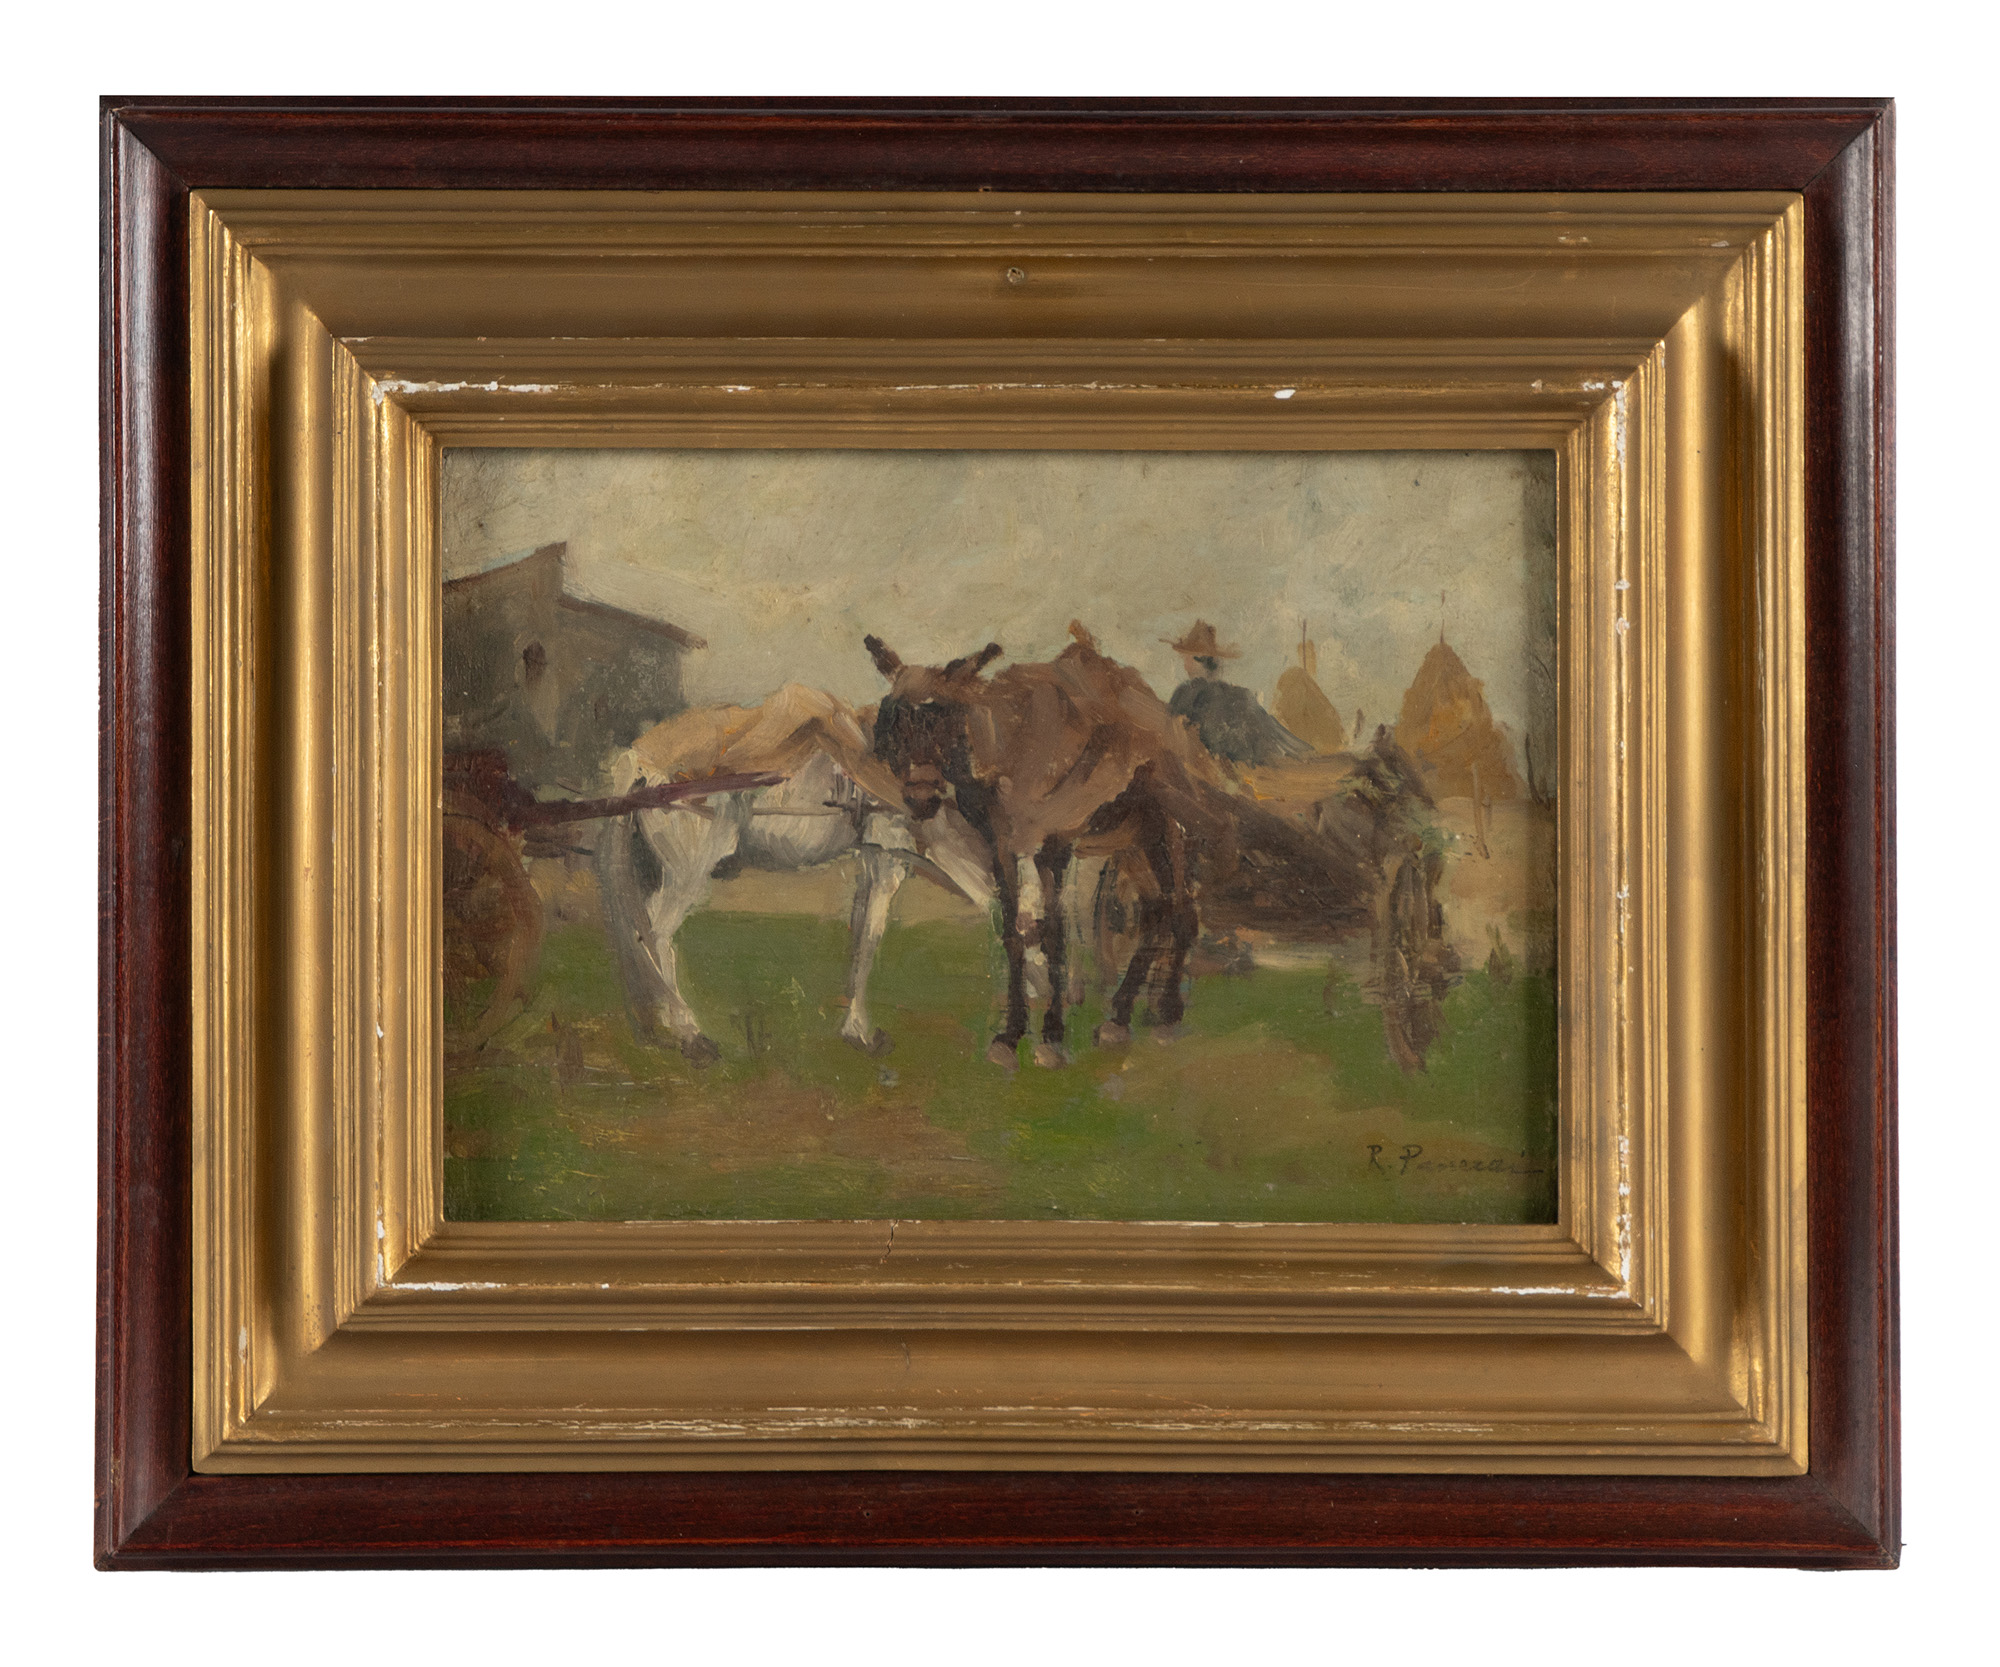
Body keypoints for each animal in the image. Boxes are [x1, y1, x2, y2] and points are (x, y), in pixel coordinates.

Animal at [595, 683, 993, 1064]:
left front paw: (853, 1029)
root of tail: (638, 758)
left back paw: (657, 1021)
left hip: (654, 865)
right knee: (657, 933)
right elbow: (881, 934)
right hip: (690, 868)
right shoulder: (894, 859)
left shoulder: (876, 858)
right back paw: (690, 1034)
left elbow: (862, 932)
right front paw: (862, 1032)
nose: (927, 798)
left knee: (636, 924)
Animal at [863, 624, 1229, 1070]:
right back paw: (1125, 1015)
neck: (1010, 745)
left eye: (944, 722)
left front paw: (1052, 1037)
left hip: (1172, 837)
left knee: (1180, 912)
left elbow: (1053, 932)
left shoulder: (1053, 845)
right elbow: (1013, 932)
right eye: (894, 721)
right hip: (1133, 843)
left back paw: (1164, 1012)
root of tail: (1184, 738)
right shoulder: (1000, 845)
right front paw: (1010, 1035)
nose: (921, 798)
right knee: (1160, 910)